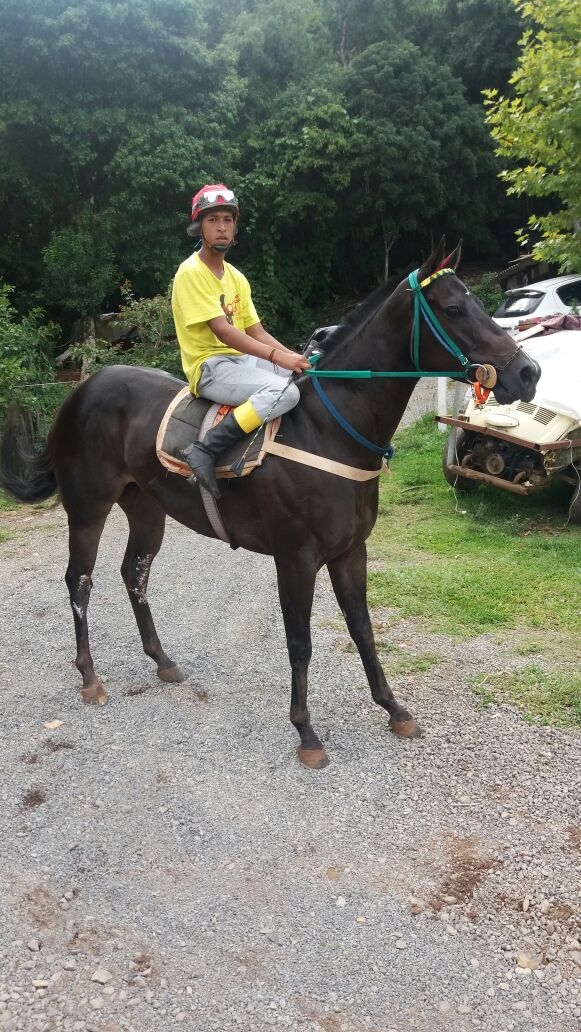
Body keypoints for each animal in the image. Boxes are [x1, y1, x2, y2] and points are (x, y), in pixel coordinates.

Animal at [1, 241, 540, 767]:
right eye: (453, 309)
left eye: (475, 303)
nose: (529, 371)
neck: (329, 429)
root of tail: (83, 389)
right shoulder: (295, 558)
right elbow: (300, 643)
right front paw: (306, 732)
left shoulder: (350, 552)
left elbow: (363, 631)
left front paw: (394, 709)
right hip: (88, 508)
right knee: (80, 580)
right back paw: (90, 677)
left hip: (148, 510)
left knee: (134, 573)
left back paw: (163, 660)